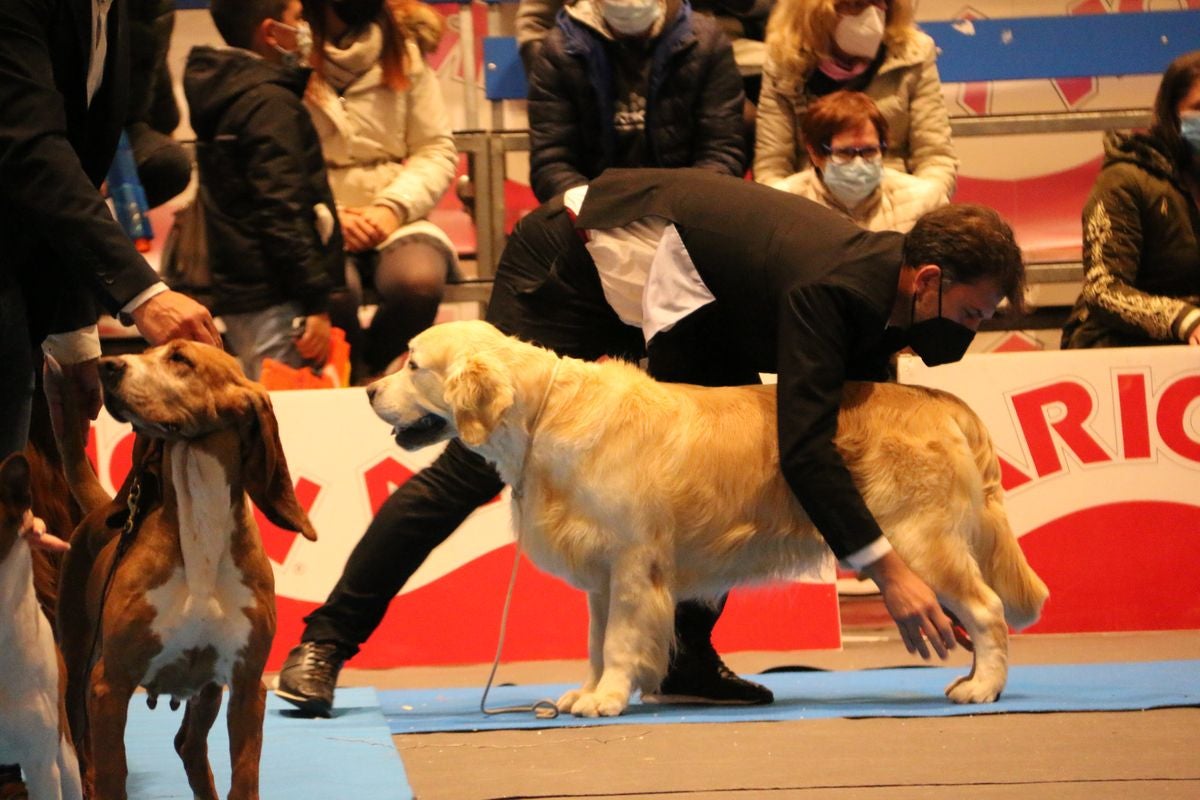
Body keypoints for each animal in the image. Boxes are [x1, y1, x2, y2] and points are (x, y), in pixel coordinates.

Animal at [369, 321, 1046, 714]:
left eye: (412, 364)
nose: (369, 390)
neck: (546, 416)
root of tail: (944, 400)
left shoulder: (633, 562)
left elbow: (618, 641)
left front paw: (607, 698)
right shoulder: (602, 574)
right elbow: (594, 641)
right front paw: (586, 690)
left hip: (920, 540)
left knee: (987, 609)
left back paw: (983, 687)